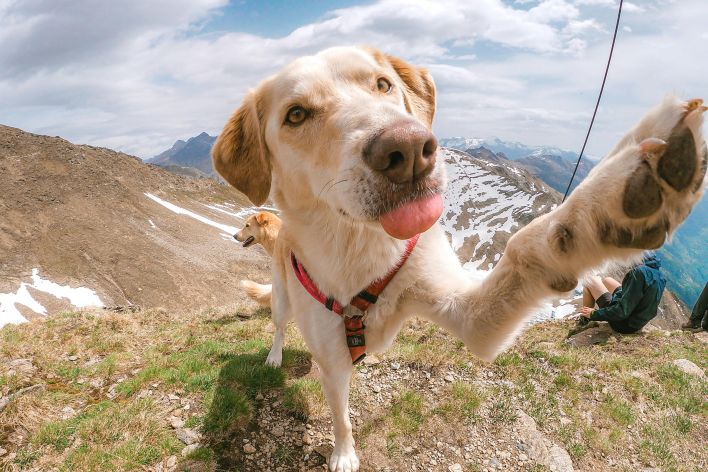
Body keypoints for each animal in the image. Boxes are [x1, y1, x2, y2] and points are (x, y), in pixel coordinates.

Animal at [213, 45, 704, 472]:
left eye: (383, 85)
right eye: (296, 115)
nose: (409, 150)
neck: (364, 249)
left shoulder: (468, 315)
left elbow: (525, 247)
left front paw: (607, 202)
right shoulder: (333, 363)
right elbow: (341, 417)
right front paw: (344, 454)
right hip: (283, 296)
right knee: (279, 325)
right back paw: (275, 357)